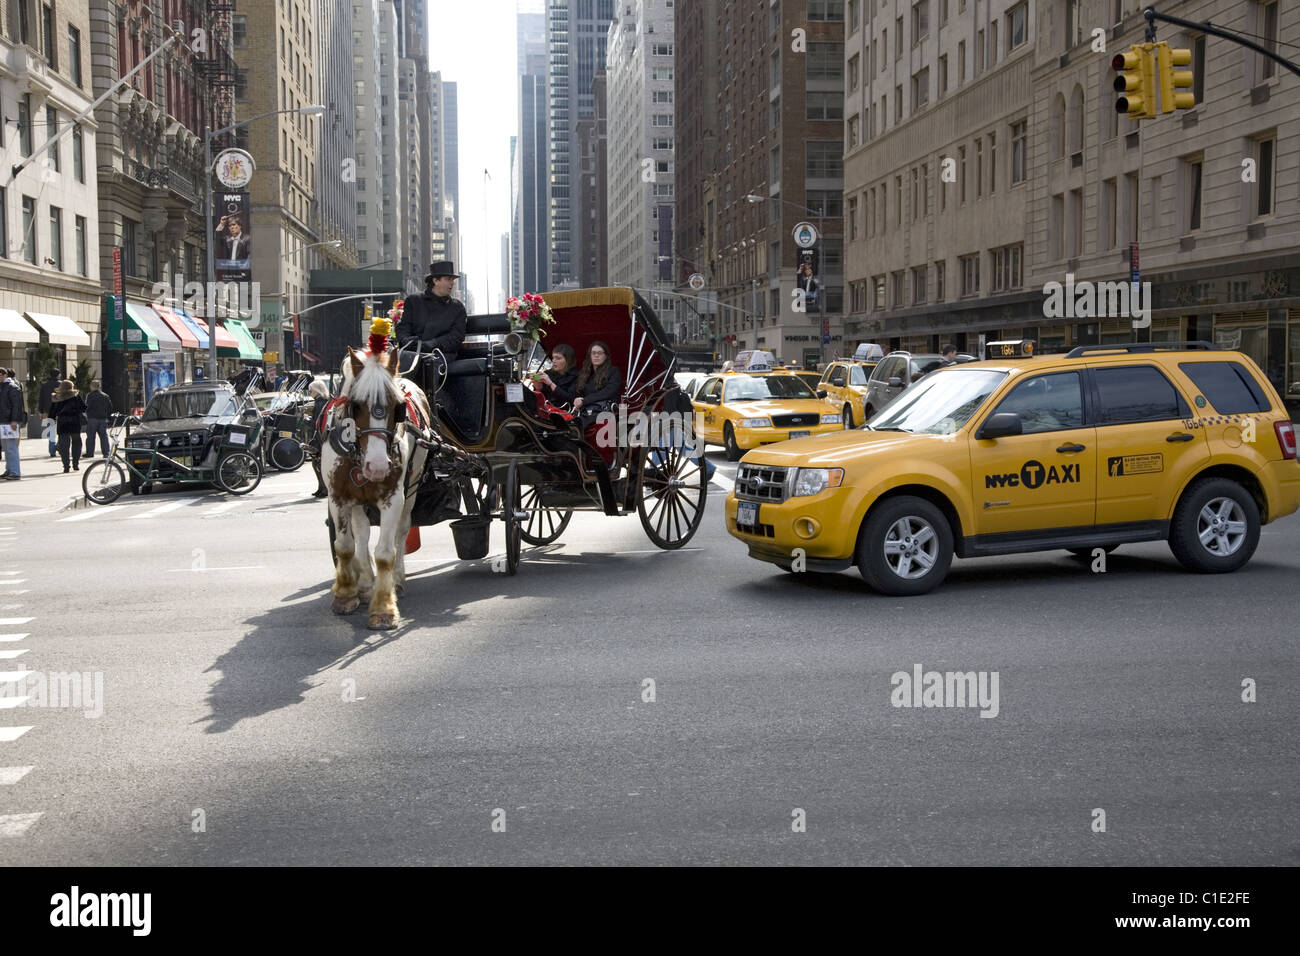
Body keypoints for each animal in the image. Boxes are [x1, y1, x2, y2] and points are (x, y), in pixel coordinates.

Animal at [321, 343, 431, 629]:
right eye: (356, 405)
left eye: (398, 407)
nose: (378, 466)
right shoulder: (337, 496)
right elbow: (344, 546)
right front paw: (346, 595)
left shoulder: (394, 497)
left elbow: (385, 552)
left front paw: (384, 608)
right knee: (361, 535)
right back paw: (365, 583)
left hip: (413, 487)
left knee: (401, 532)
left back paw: (397, 580)